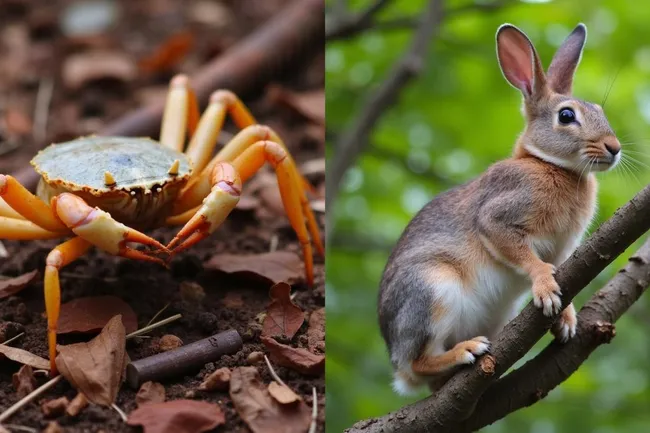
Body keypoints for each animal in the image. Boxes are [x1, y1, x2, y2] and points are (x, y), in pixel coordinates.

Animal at [378, 22, 621, 396]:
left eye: (599, 109)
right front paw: (546, 289)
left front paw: (566, 320)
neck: (549, 164)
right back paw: (467, 350)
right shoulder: (499, 216)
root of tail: (395, 361)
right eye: (566, 116)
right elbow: (524, 255)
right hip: (433, 289)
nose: (614, 148)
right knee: (419, 362)